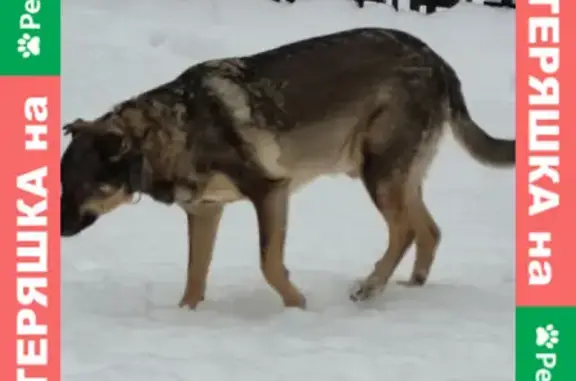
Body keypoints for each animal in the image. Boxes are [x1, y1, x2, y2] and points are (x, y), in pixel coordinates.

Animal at [60, 29, 516, 308]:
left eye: (81, 186)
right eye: (62, 183)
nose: (59, 232)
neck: (168, 132)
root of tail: (438, 60)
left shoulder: (270, 192)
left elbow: (269, 264)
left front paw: (298, 307)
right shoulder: (206, 211)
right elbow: (194, 275)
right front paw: (184, 315)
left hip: (378, 172)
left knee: (404, 231)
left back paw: (369, 288)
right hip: (394, 175)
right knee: (429, 230)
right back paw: (407, 285)